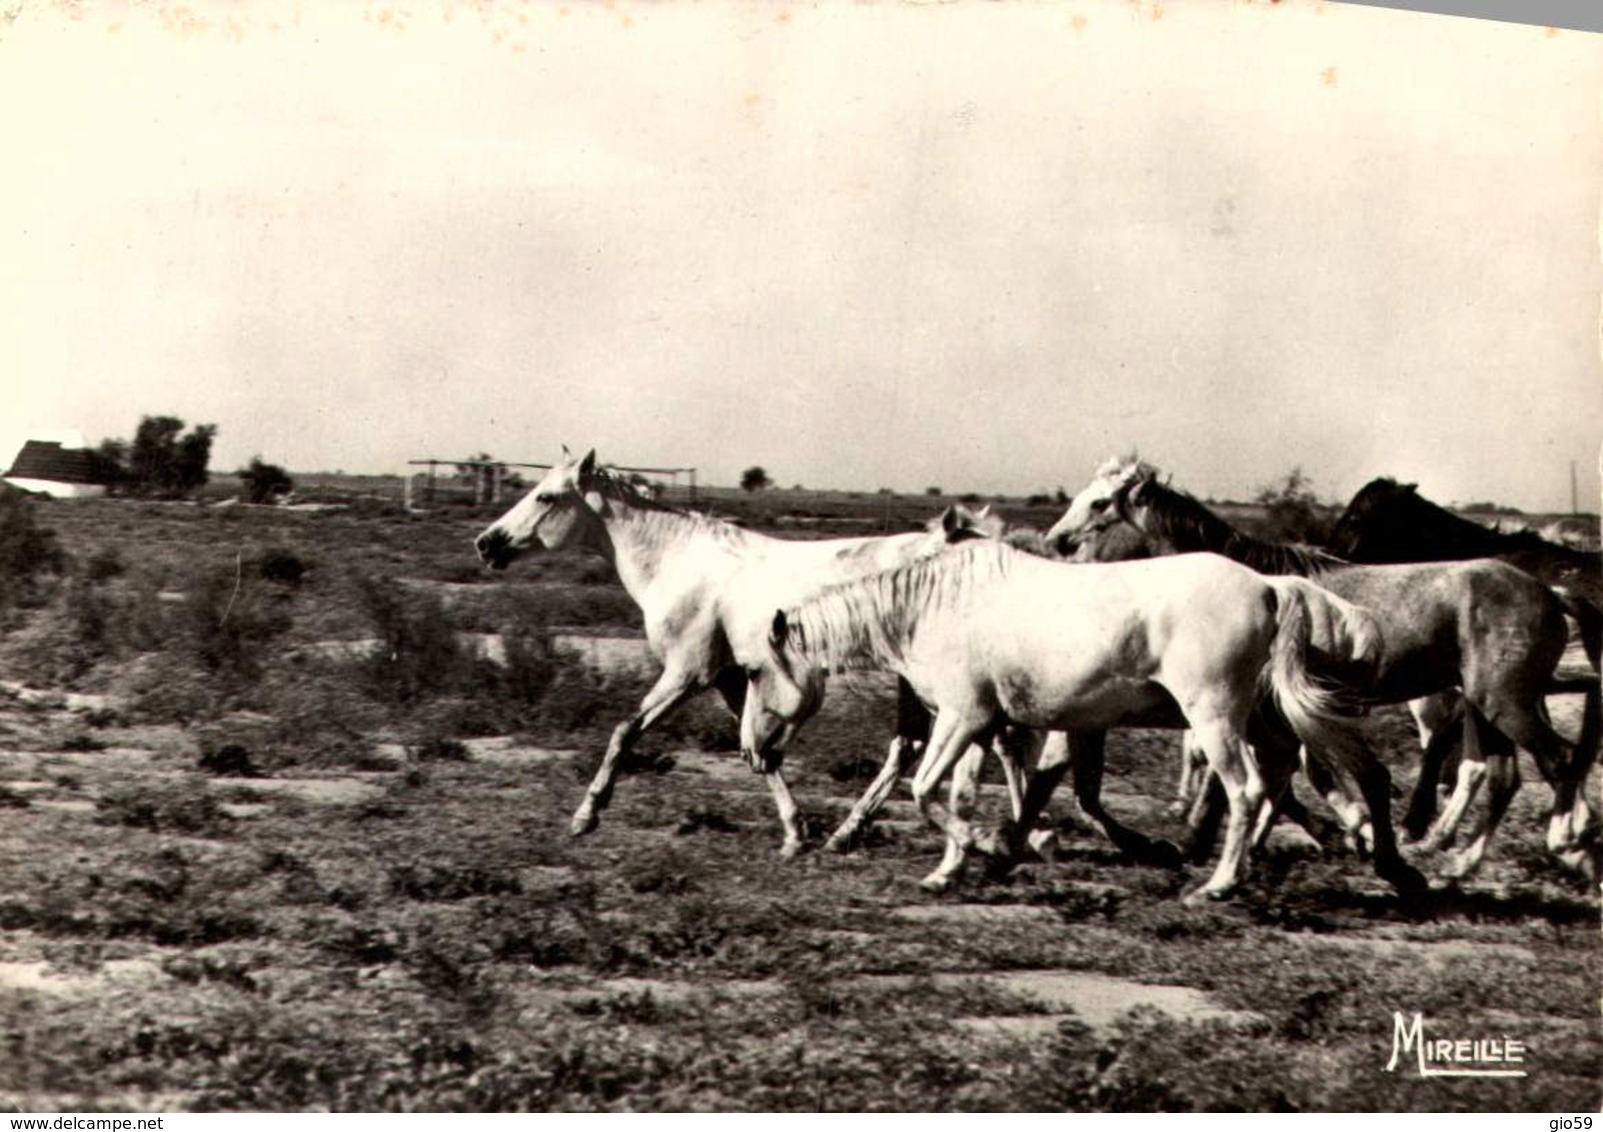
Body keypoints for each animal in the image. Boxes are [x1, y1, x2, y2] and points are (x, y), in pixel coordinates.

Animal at [474, 445, 1019, 853]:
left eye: (545, 497)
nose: (486, 543)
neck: (678, 562)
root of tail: (964, 544)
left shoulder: (687, 673)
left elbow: (626, 730)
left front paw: (585, 817)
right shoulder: (734, 678)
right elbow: (759, 753)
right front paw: (795, 833)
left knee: (945, 744)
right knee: (957, 743)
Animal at [740, 538, 1404, 897]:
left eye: (750, 671)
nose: (751, 752)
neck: (931, 608)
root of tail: (1270, 587)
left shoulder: (959, 716)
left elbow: (927, 791)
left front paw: (987, 846)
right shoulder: (978, 724)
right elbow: (958, 796)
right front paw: (951, 870)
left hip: (1215, 716)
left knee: (1245, 790)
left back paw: (1217, 884)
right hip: (1260, 717)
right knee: (1286, 775)